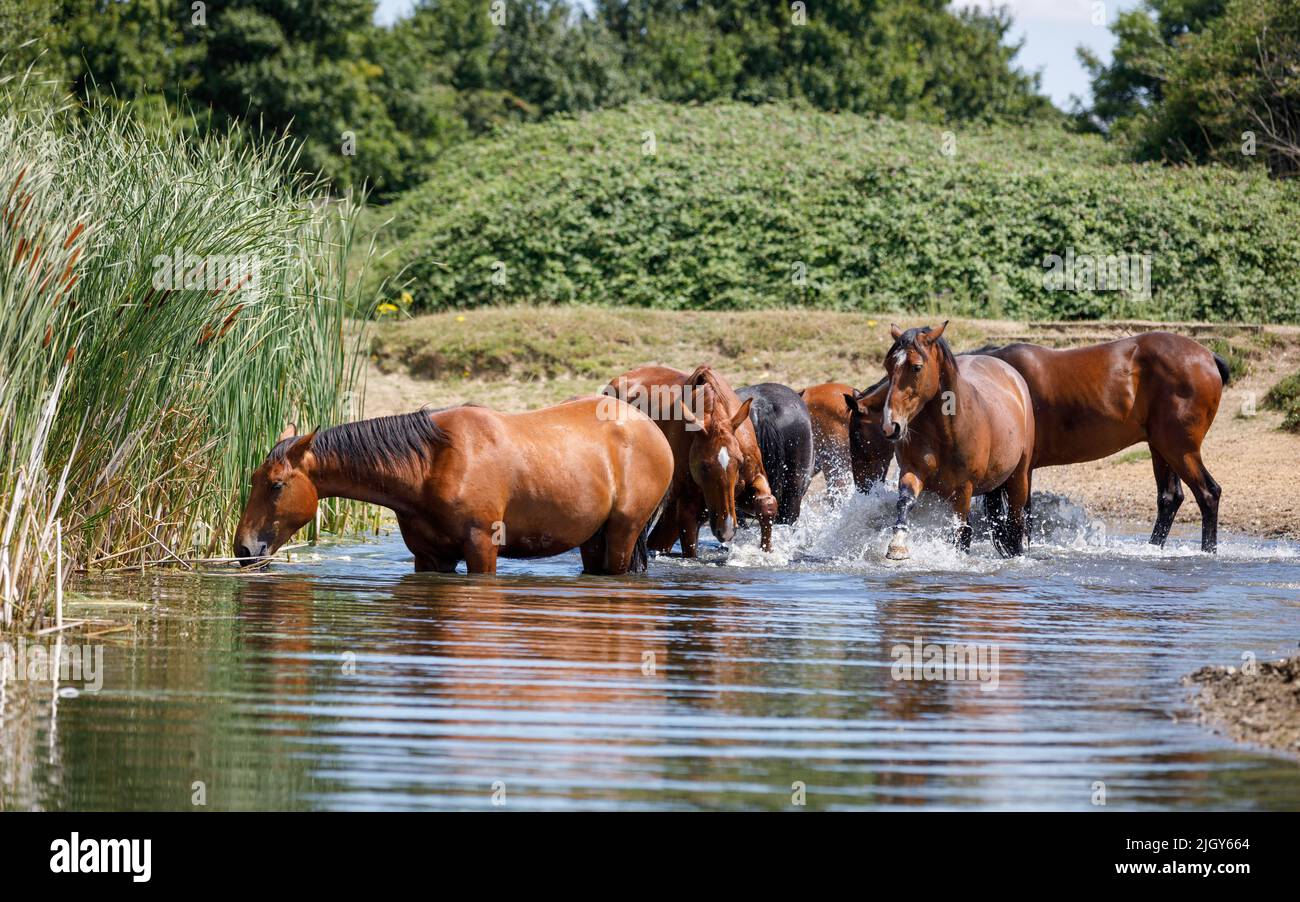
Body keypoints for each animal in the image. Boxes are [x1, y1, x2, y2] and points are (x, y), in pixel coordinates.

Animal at [233, 400, 676, 577]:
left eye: (276, 485)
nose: (244, 549)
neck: (431, 464)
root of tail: (650, 428)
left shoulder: (481, 547)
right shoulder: (429, 557)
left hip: (623, 532)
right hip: (593, 538)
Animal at [603, 363, 774, 553]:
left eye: (739, 462)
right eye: (704, 466)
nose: (726, 530)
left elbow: (767, 505)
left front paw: (767, 551)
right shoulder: (688, 508)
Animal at [852, 324, 1034, 561]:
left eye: (916, 367)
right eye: (888, 366)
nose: (891, 425)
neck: (946, 431)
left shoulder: (964, 488)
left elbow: (961, 529)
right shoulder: (913, 471)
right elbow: (905, 502)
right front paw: (897, 546)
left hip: (1018, 477)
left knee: (1015, 522)